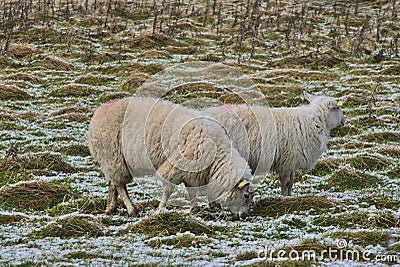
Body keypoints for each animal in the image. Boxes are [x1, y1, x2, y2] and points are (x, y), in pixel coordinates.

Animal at [89, 97, 255, 219]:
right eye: (246, 195)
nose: (244, 216)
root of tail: (99, 111)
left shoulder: (192, 171)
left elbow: (191, 191)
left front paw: (194, 209)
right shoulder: (176, 166)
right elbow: (168, 190)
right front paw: (160, 208)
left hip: (112, 161)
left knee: (113, 183)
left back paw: (110, 208)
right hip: (113, 157)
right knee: (121, 186)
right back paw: (132, 210)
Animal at [205, 92, 346, 197]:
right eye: (338, 107)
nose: (343, 122)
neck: (316, 121)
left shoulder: (291, 162)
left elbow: (291, 183)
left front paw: (290, 196)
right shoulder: (288, 160)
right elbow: (286, 182)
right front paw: (284, 197)